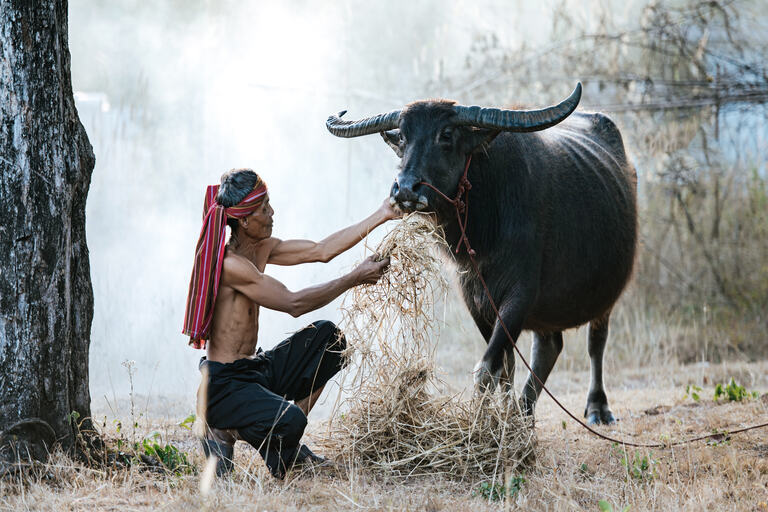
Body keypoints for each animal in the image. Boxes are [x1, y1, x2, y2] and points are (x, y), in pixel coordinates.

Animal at [328, 85, 640, 424]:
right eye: (403, 138)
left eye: (446, 134)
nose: (406, 189)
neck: (486, 225)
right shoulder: (476, 298)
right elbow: (505, 367)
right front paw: (499, 416)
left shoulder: (520, 294)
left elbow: (488, 368)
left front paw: (481, 424)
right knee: (548, 346)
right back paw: (523, 416)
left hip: (606, 293)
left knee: (595, 342)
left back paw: (596, 408)